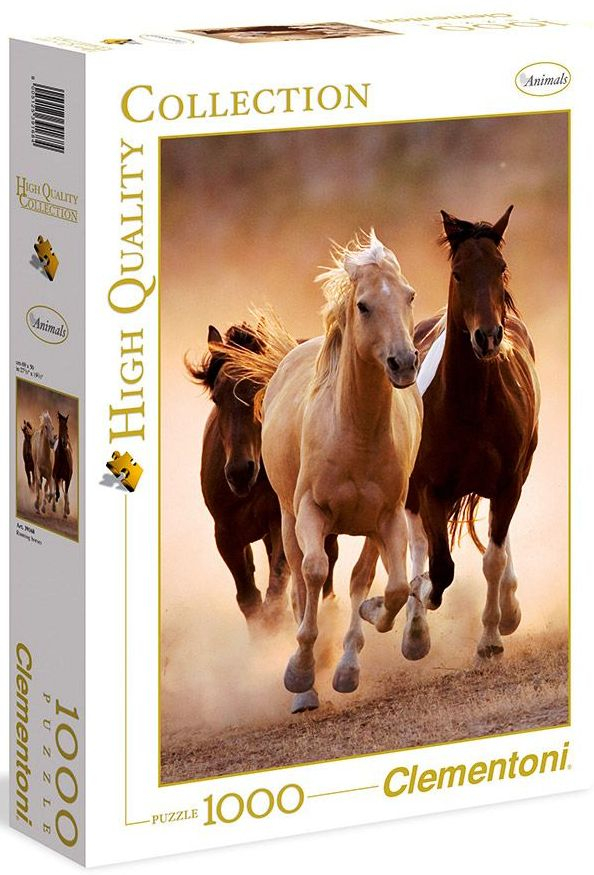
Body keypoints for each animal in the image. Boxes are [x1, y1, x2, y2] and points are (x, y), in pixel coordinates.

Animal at [185, 322, 339, 634]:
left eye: (261, 389)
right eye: (216, 398)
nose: (239, 472)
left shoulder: (280, 523)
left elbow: (276, 590)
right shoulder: (226, 534)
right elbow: (249, 599)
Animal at [223, 232, 422, 710]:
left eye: (409, 295)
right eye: (364, 305)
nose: (404, 363)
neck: (356, 432)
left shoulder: (388, 518)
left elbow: (389, 587)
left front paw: (362, 637)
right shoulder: (310, 512)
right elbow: (313, 574)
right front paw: (299, 673)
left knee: (359, 579)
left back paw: (346, 662)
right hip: (287, 518)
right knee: (299, 581)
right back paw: (306, 687)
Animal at [359, 206, 540, 662]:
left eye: (500, 267)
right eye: (458, 273)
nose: (488, 337)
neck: (472, 405)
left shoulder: (508, 483)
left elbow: (491, 558)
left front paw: (492, 636)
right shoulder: (429, 488)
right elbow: (438, 567)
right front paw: (408, 606)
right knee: (420, 545)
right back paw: (413, 629)